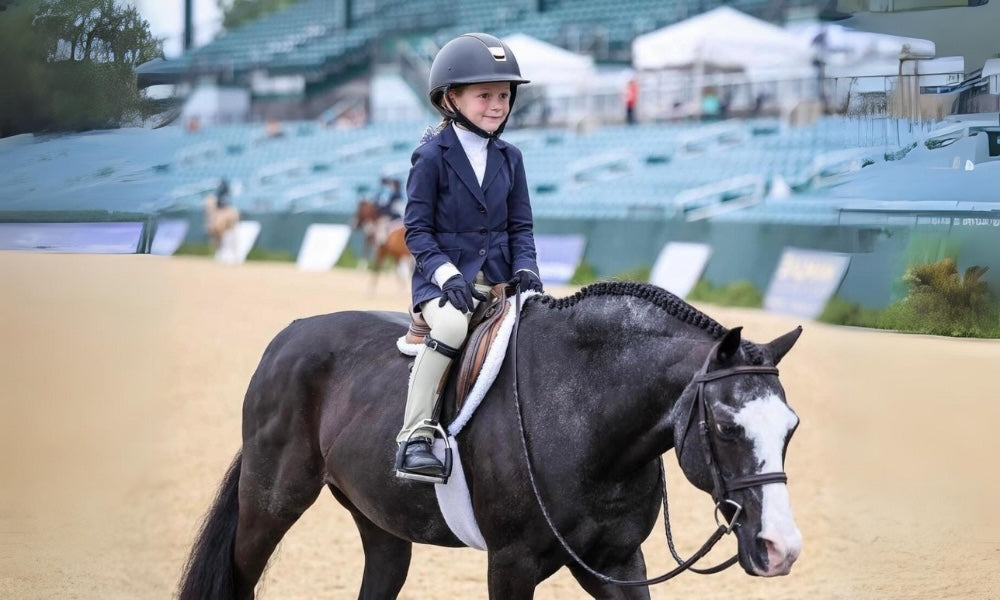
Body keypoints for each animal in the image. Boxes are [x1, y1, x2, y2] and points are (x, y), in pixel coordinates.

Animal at [178, 282, 804, 600]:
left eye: (791, 429)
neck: (583, 416)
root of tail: (288, 337)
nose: (780, 548)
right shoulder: (512, 564)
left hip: (381, 522)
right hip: (270, 503)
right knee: (241, 572)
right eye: (725, 426)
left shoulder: (616, 562)